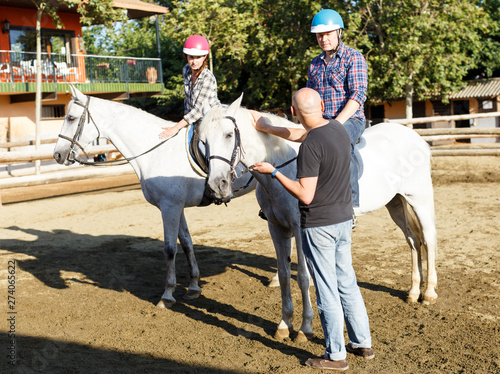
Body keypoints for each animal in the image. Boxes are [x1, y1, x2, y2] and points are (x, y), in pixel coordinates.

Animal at [54, 86, 256, 308]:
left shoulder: (169, 207)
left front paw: (167, 295)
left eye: (71, 118)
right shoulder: (176, 206)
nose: (57, 155)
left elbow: (170, 249)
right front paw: (194, 286)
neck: (157, 151)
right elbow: (186, 243)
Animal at [197, 94, 440, 338]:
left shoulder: (300, 229)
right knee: (413, 240)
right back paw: (413, 292)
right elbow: (284, 275)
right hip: (396, 203)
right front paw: (284, 324)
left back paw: (428, 293)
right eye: (203, 141)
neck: (283, 166)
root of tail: (415, 137)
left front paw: (304, 328)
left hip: (420, 199)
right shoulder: (276, 228)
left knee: (428, 238)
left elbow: (304, 277)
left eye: (229, 135)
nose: (217, 186)